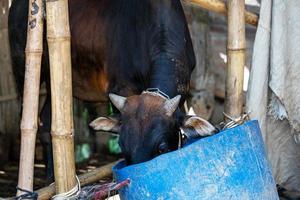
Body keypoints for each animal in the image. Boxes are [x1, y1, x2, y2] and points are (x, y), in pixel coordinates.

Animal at [8, 0, 216, 182]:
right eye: (123, 146)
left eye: (162, 148)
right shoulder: (121, 87)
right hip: (23, 68)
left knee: (47, 123)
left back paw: (52, 177)